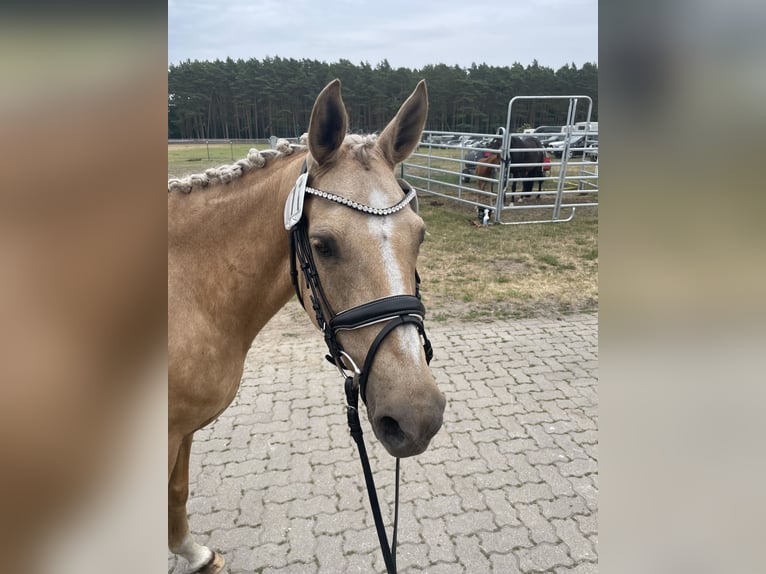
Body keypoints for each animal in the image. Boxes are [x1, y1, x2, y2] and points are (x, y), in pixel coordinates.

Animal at [168, 79, 444, 572]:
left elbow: (176, 495)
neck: (188, 288)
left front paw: (194, 553)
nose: (417, 418)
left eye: (421, 234)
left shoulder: (181, 430)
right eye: (323, 245)